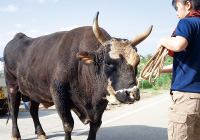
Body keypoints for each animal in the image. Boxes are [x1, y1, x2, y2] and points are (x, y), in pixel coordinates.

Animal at [3, 12, 152, 140]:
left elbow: (95, 126)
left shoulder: (100, 103)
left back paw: (41, 133)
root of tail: (18, 37)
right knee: (14, 110)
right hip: (12, 87)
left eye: (138, 62)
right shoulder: (59, 96)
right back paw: (16, 135)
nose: (132, 93)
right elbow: (68, 125)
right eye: (108, 62)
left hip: (34, 90)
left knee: (33, 109)